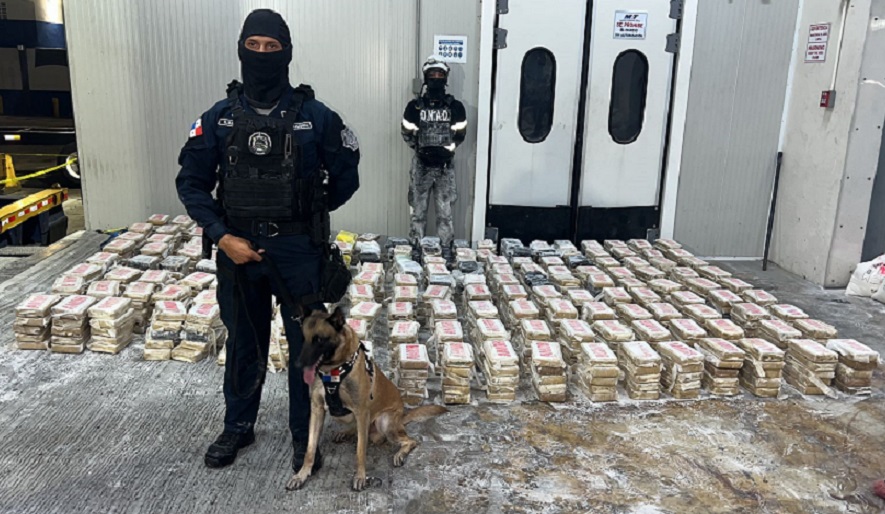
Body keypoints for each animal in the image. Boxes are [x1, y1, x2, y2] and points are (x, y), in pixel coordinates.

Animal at [286, 304, 446, 488]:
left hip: (384, 422)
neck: (334, 372)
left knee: (410, 440)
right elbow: (310, 449)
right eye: (303, 338)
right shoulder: (317, 409)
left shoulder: (361, 411)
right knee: (358, 429)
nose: (298, 365)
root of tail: (401, 418)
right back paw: (346, 433)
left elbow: (360, 450)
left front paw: (361, 477)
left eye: (319, 340)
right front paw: (301, 475)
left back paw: (400, 454)